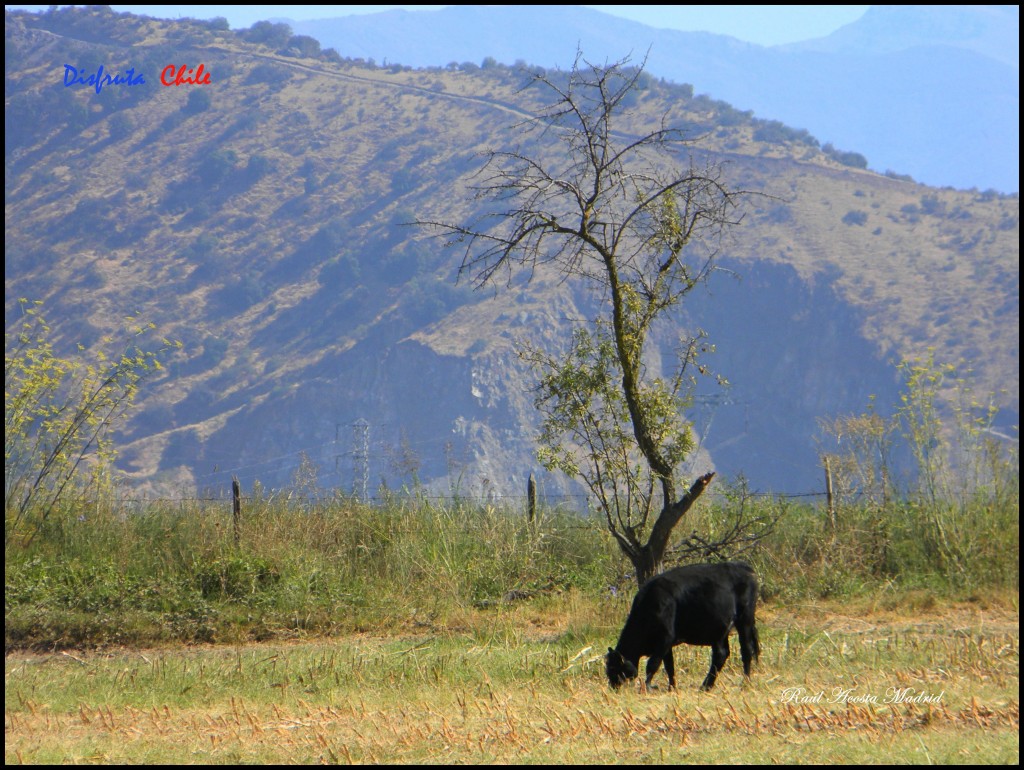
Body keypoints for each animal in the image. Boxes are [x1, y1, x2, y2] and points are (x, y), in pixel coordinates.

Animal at [606, 561, 761, 692]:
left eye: (614, 667)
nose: (612, 686)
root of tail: (743, 567)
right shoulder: (666, 644)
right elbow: (669, 666)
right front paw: (672, 687)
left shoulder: (665, 638)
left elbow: (653, 664)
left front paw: (647, 686)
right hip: (719, 630)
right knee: (721, 654)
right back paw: (706, 686)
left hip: (744, 620)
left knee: (746, 650)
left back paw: (745, 682)